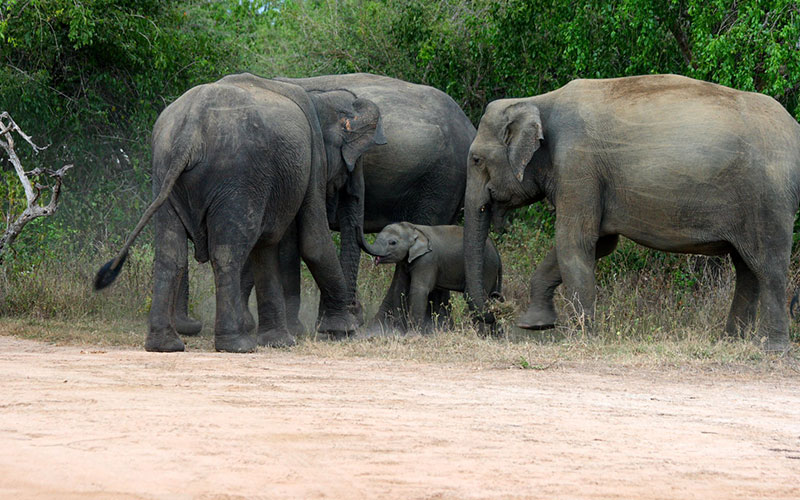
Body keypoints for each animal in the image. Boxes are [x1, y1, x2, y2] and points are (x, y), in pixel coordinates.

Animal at [95, 72, 385, 352]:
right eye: (353, 161)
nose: (355, 315)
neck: (320, 97)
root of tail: (190, 131)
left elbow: (268, 246)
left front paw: (279, 340)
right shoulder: (313, 160)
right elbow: (312, 242)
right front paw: (342, 331)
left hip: (165, 172)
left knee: (170, 254)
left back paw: (165, 345)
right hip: (237, 175)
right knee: (227, 254)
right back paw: (236, 345)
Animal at [361, 222, 502, 332]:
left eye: (393, 242)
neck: (414, 228)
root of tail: (497, 253)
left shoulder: (427, 260)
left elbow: (419, 289)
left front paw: (413, 333)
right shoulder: (404, 262)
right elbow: (399, 288)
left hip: (487, 267)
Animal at [463, 74, 800, 352]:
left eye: (477, 160)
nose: (493, 317)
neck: (538, 100)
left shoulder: (577, 164)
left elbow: (575, 240)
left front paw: (581, 337)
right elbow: (599, 243)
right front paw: (534, 324)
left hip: (769, 198)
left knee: (768, 267)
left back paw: (772, 350)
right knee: (747, 269)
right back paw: (730, 342)